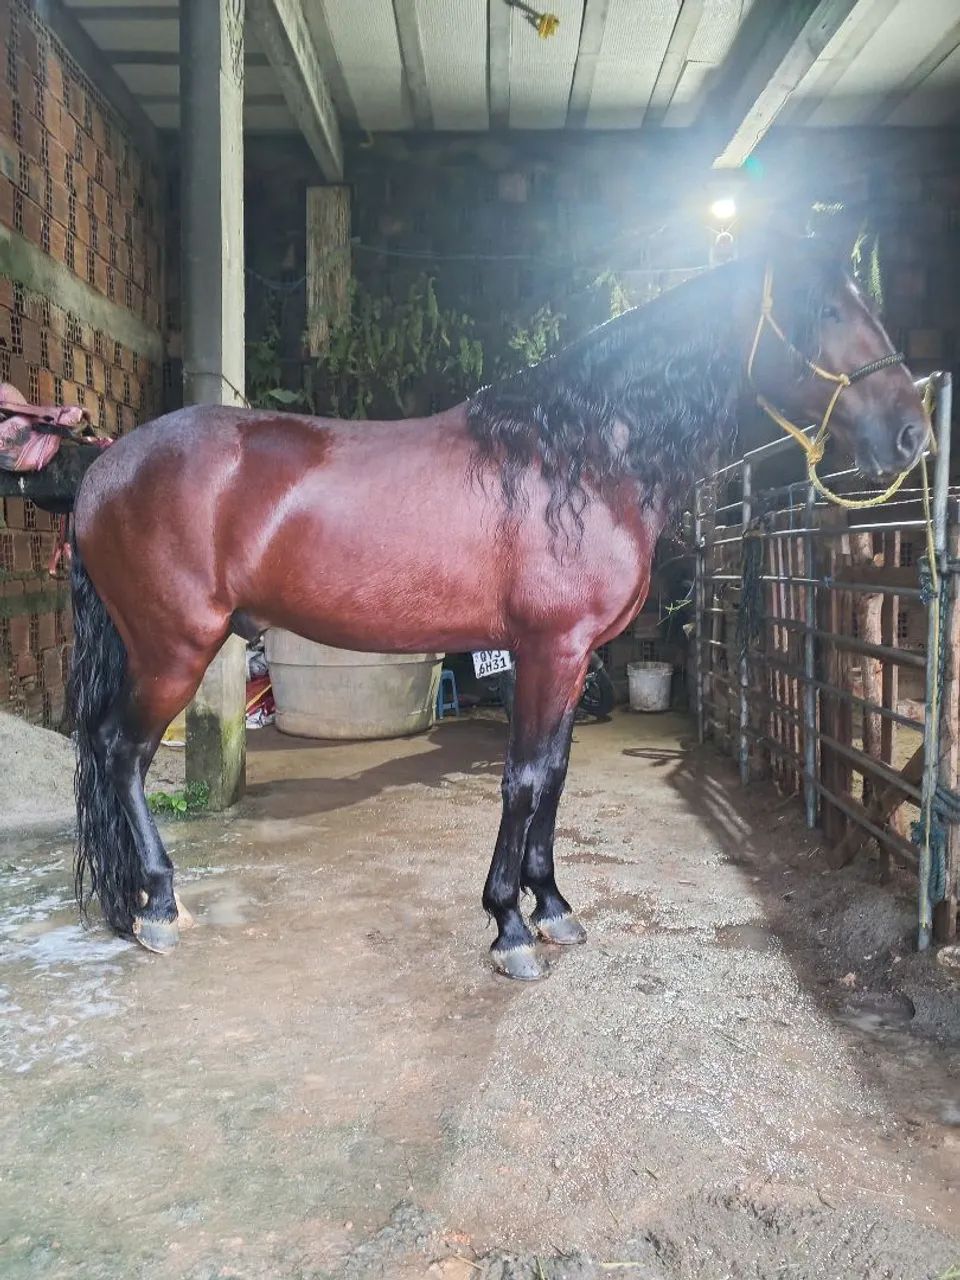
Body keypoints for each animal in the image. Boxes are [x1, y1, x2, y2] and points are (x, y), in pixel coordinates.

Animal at [69, 240, 927, 980]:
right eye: (825, 308)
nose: (912, 434)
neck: (578, 461)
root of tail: (104, 472)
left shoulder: (571, 658)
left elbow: (556, 775)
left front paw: (552, 907)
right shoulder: (551, 648)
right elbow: (524, 778)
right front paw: (510, 926)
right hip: (173, 648)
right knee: (121, 751)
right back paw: (158, 905)